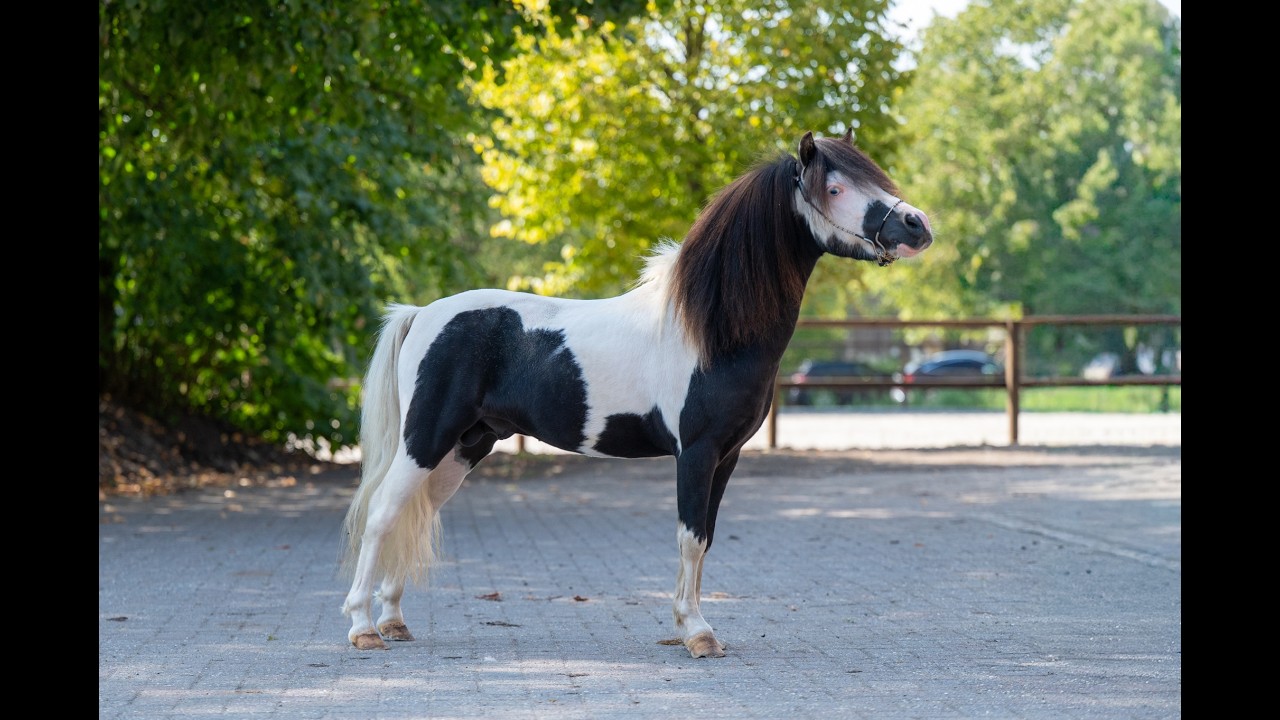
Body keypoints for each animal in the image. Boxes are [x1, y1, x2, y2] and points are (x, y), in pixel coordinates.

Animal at [339, 129, 933, 658]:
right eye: (834, 188)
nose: (917, 225)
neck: (710, 331)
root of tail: (422, 314)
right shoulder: (695, 453)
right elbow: (689, 537)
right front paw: (697, 633)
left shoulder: (728, 457)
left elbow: (705, 537)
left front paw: (690, 624)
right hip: (425, 440)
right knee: (383, 513)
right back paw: (363, 627)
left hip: (464, 448)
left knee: (414, 513)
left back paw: (393, 620)